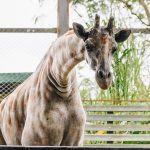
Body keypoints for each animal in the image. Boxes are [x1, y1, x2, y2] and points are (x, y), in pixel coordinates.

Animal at [0, 14, 131, 146]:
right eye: (88, 46)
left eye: (114, 48)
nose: (104, 79)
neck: (63, 86)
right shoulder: (34, 142)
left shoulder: (74, 142)